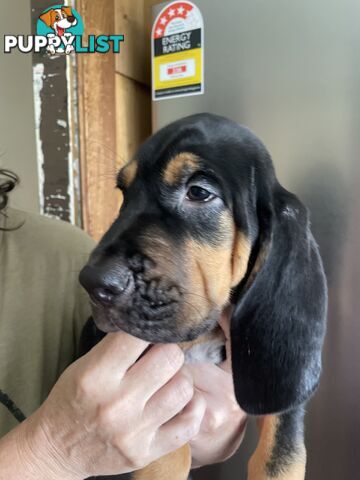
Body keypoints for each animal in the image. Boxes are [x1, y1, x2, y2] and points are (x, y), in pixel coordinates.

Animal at [80, 113, 328, 480]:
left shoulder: (284, 403)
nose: (93, 282)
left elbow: (281, 457)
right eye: (124, 193)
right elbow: (168, 453)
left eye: (198, 192)